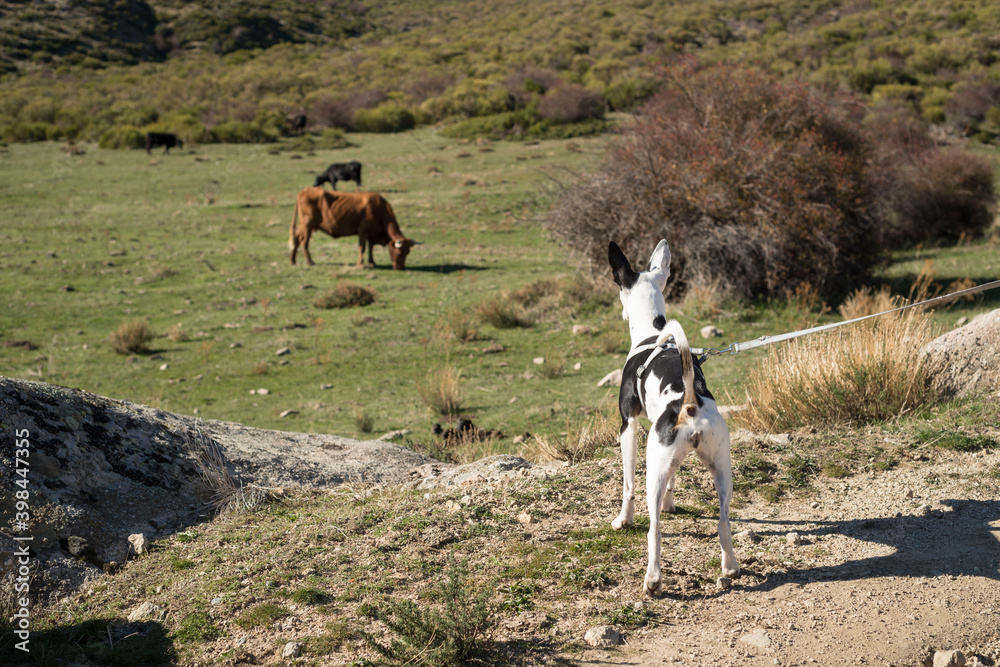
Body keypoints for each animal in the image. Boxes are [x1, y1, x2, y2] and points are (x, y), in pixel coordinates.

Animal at [289, 188, 419, 269]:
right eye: (399, 252)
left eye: (407, 252)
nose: (400, 268)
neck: (378, 208)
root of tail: (304, 191)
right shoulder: (363, 231)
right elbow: (362, 248)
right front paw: (360, 264)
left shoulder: (371, 234)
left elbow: (371, 247)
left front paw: (372, 262)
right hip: (308, 225)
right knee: (304, 241)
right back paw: (310, 261)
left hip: (303, 226)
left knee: (296, 239)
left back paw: (293, 260)